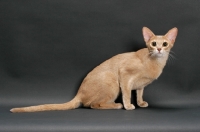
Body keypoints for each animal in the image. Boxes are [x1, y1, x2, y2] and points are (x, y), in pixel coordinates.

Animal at [10, 26, 177, 112]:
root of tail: (78, 93)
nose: (159, 50)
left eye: (165, 44)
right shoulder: (124, 74)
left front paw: (141, 103)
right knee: (93, 105)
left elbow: (139, 93)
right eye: (153, 44)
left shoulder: (141, 85)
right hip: (112, 81)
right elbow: (127, 94)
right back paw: (116, 105)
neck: (155, 62)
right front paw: (129, 105)